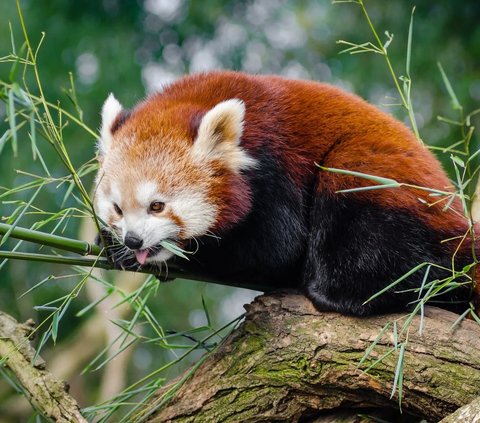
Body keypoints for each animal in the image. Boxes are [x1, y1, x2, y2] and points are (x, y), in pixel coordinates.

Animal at [94, 70, 476, 314]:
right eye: (117, 209)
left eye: (157, 206)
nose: (133, 240)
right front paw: (111, 245)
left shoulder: (275, 167)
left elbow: (275, 248)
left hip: (378, 182)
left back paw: (335, 294)